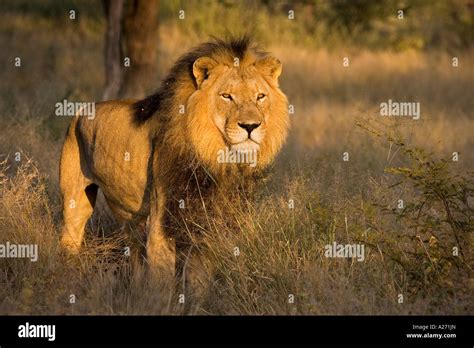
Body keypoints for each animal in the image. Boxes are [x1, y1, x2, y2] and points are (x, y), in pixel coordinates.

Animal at [59, 36, 288, 284]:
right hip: (75, 200)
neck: (218, 159)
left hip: (132, 219)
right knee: (70, 236)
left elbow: (199, 281)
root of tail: (80, 110)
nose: (250, 126)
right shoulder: (162, 225)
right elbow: (162, 283)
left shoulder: (207, 227)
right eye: (227, 96)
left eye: (260, 97)